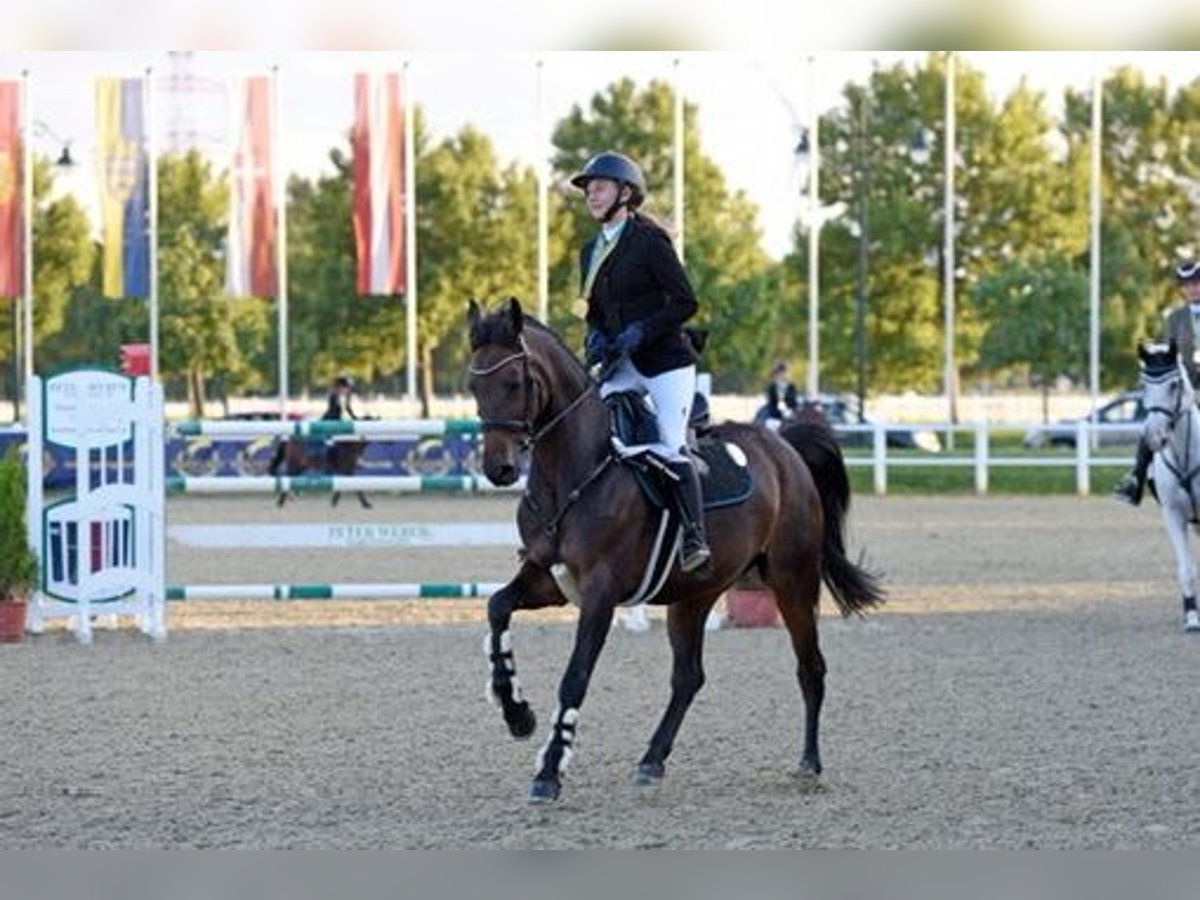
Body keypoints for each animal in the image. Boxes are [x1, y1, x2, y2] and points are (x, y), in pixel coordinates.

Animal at [465, 300, 883, 806]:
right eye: (473, 385)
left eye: (514, 382)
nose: (499, 469)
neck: (575, 471)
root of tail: (786, 449)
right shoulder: (549, 579)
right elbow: (497, 608)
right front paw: (516, 711)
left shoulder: (600, 593)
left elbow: (575, 676)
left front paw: (549, 770)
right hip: (694, 595)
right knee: (688, 677)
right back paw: (651, 760)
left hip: (793, 581)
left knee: (810, 668)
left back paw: (808, 764)